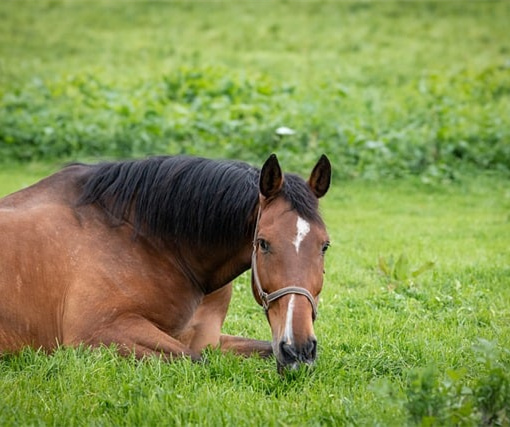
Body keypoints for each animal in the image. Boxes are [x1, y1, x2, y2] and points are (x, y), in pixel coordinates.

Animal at [0, 154, 330, 372]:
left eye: (325, 245)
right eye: (263, 243)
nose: (298, 349)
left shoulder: (206, 338)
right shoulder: (97, 333)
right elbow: (196, 361)